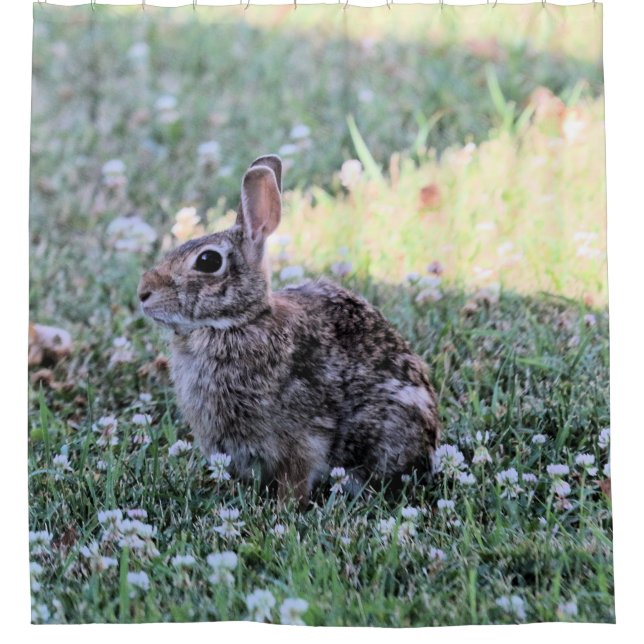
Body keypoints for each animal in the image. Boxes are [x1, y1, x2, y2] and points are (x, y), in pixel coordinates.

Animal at [138, 154, 441, 507]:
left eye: (208, 261)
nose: (143, 293)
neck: (239, 322)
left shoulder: (304, 437)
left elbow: (297, 476)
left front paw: (284, 508)